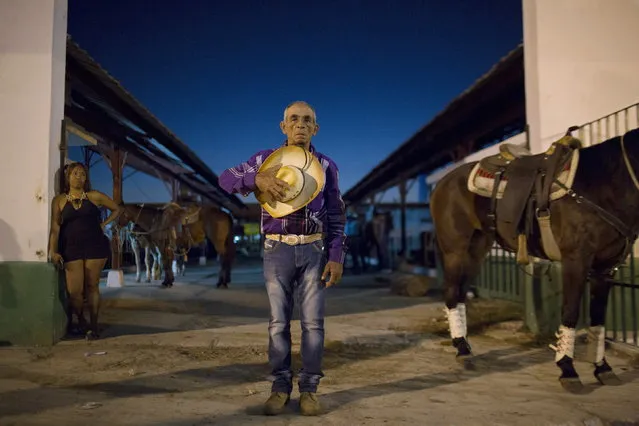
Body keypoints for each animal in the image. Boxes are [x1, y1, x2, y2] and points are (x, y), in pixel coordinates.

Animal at [430, 126, 639, 392]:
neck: (604, 183)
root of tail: (442, 183)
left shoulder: (606, 267)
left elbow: (599, 318)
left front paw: (602, 368)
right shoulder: (576, 260)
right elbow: (570, 312)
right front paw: (568, 369)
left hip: (477, 249)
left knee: (459, 294)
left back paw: (465, 348)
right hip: (455, 250)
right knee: (450, 293)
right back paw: (462, 350)